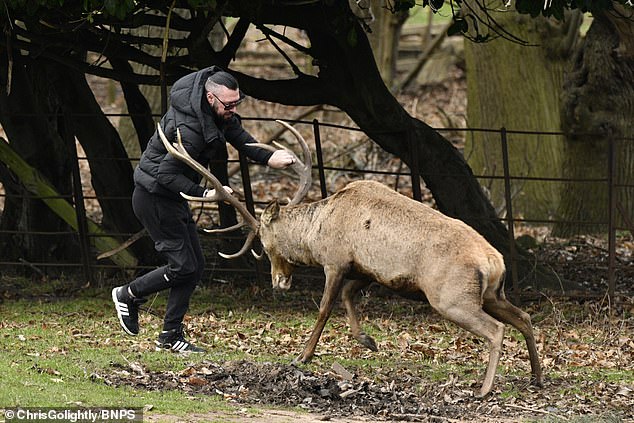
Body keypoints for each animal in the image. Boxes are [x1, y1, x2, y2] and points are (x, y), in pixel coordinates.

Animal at [157, 121, 540, 400]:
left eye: (264, 244)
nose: (279, 282)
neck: (317, 232)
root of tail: (495, 262)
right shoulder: (366, 270)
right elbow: (347, 297)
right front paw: (368, 341)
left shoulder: (336, 260)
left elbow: (325, 307)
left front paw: (303, 356)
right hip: (492, 294)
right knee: (523, 317)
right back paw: (536, 377)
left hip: (451, 297)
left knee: (496, 329)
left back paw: (485, 389)